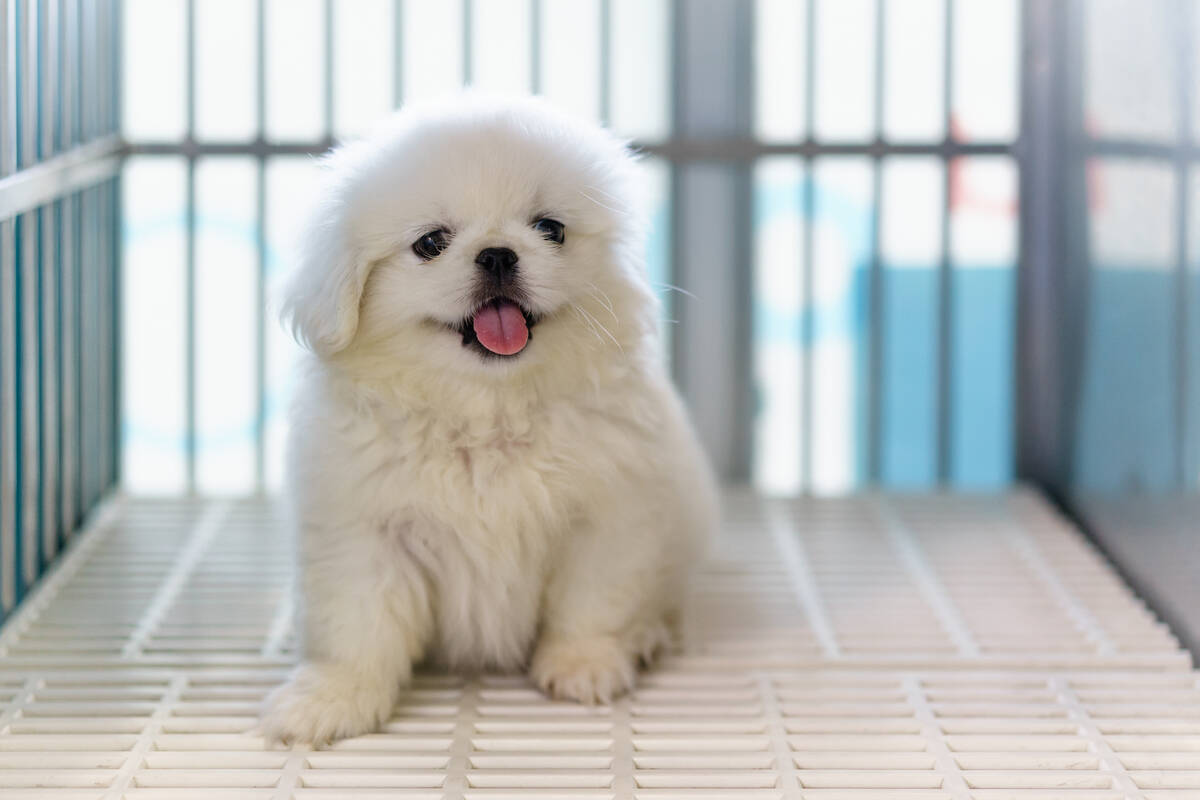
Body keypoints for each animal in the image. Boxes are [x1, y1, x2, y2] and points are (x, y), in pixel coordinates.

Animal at [260, 97, 710, 748]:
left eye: (551, 229)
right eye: (431, 243)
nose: (498, 252)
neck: (487, 414)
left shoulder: (608, 520)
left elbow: (592, 602)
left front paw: (584, 666)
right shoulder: (363, 535)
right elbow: (356, 627)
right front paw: (331, 700)